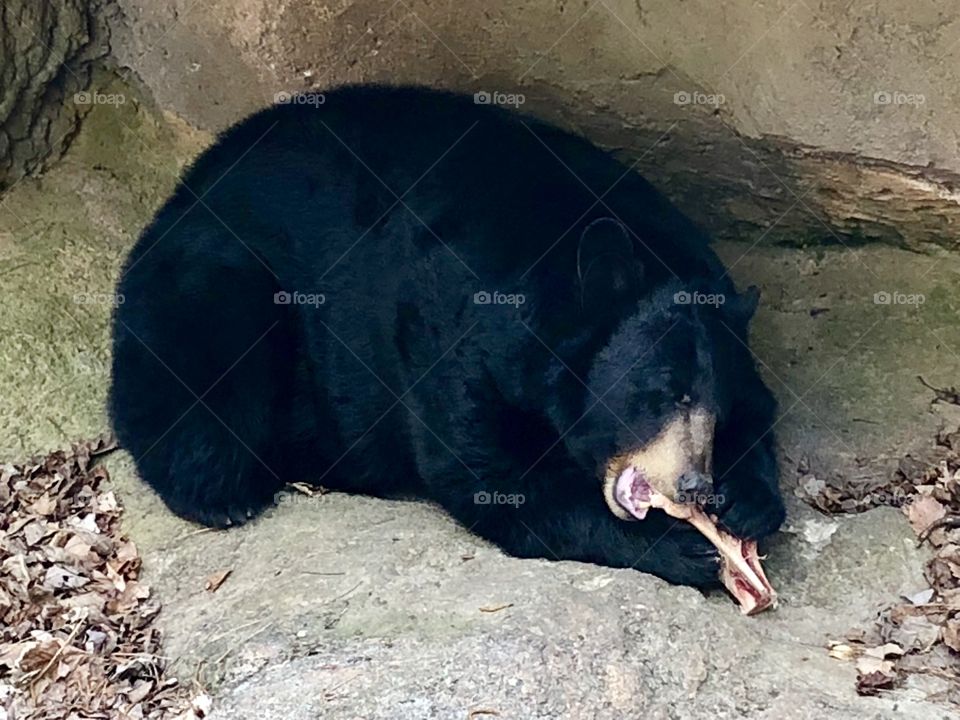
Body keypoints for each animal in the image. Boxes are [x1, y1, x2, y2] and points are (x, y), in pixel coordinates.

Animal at [109, 84, 785, 588]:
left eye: (717, 409)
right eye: (668, 391)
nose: (695, 484)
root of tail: (184, 186)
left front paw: (748, 499)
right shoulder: (456, 338)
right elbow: (495, 476)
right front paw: (680, 547)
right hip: (217, 271)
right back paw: (220, 489)